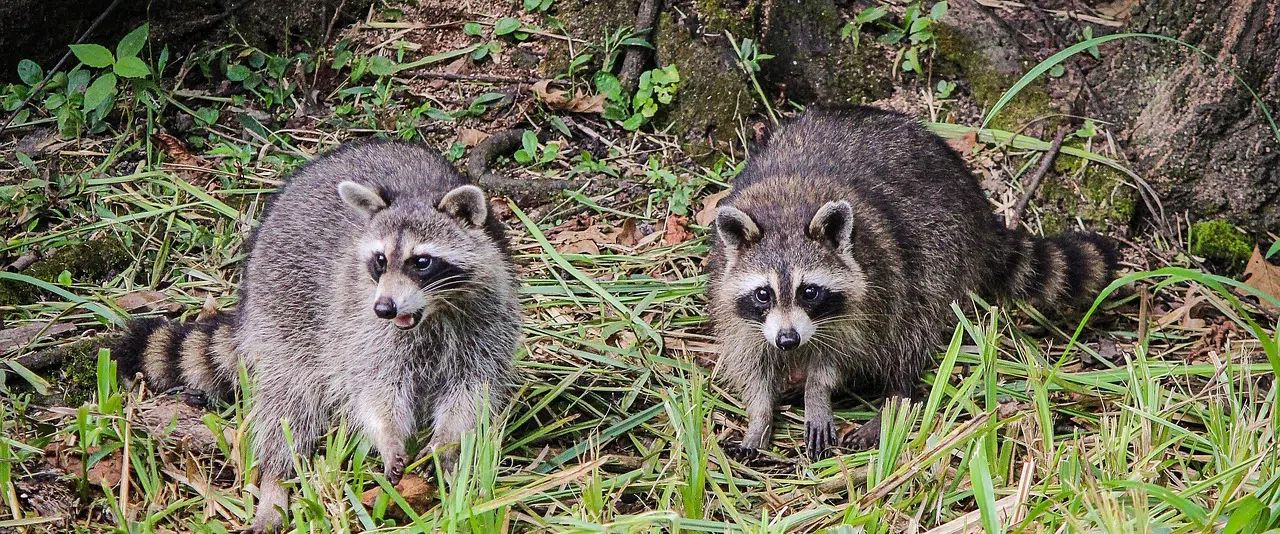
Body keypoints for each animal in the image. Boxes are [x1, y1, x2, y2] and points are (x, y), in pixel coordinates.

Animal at [112, 141, 522, 532]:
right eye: (380, 261)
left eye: (421, 262)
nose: (384, 308)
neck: (432, 313)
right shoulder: (361, 327)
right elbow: (373, 389)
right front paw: (388, 436)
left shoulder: (488, 321)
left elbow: (472, 390)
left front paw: (447, 444)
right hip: (283, 318)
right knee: (287, 407)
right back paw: (275, 483)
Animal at [708, 107, 1116, 459]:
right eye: (764, 293)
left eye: (809, 292)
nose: (788, 340)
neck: (785, 210)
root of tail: (978, 206)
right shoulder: (736, 306)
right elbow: (752, 364)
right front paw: (759, 419)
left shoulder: (869, 292)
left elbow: (840, 356)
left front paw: (817, 394)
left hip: (940, 251)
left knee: (911, 325)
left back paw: (895, 399)